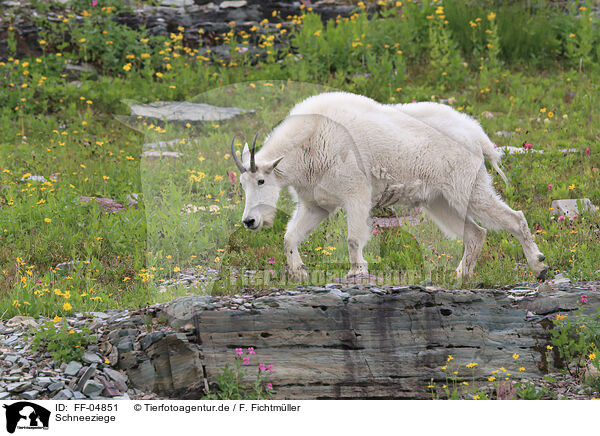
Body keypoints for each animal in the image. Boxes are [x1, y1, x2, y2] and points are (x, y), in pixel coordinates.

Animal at [231, 92, 548, 282]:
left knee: (514, 217)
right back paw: (460, 276)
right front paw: (300, 273)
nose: (249, 221)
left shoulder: (356, 192)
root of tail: (479, 137)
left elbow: (353, 238)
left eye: (261, 180)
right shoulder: (316, 204)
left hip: (466, 187)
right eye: (243, 184)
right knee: (476, 233)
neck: (308, 144)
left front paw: (356, 271)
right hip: (439, 200)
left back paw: (539, 266)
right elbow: (289, 237)